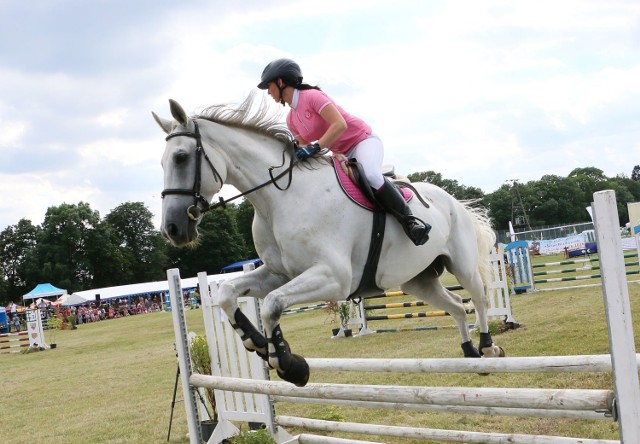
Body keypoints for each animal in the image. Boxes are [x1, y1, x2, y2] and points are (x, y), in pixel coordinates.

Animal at [154, 93, 504, 386]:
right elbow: (228, 293)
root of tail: (453, 200)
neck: (279, 199)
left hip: (461, 266)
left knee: (479, 299)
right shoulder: (279, 273)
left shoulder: (334, 277)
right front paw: (258, 342)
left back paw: (488, 348)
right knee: (457, 306)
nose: (172, 229)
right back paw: (471, 355)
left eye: (181, 157)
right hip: (418, 280)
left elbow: (271, 305)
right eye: (162, 162)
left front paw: (289, 364)